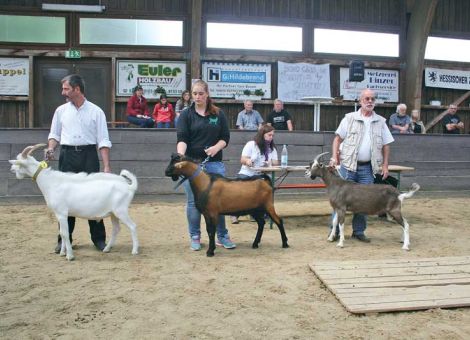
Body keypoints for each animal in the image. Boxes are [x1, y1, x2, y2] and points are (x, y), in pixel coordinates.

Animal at [9, 143, 139, 260]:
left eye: (18, 162)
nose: (11, 169)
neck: (50, 182)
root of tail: (129, 186)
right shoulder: (60, 215)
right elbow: (62, 233)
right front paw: (62, 252)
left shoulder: (62, 213)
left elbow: (65, 234)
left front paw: (70, 256)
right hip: (113, 213)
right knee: (116, 229)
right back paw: (107, 249)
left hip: (121, 210)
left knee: (133, 226)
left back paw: (134, 250)